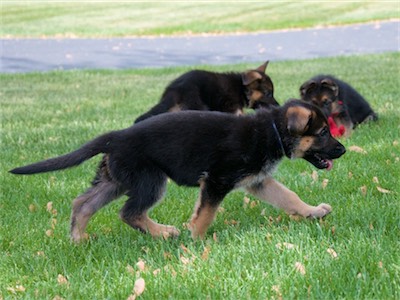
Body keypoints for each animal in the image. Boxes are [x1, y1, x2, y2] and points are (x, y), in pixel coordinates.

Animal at [10, 99, 346, 243]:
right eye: (323, 133)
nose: (342, 150)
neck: (272, 130)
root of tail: (116, 136)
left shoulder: (257, 181)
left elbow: (289, 198)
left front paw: (314, 211)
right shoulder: (217, 179)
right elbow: (206, 213)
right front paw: (196, 240)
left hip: (116, 180)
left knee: (83, 204)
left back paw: (78, 239)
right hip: (149, 180)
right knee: (129, 213)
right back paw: (164, 233)